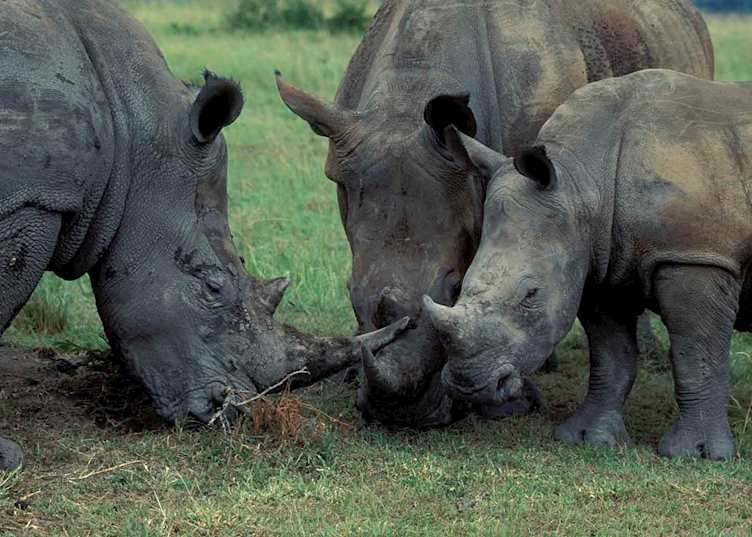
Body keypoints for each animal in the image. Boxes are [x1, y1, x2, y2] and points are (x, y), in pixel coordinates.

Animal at [276, 0, 715, 427]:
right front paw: (354, 371)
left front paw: (509, 405)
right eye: (349, 292)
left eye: (455, 288)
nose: (401, 415)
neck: (407, 97)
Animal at [424, 69, 752, 459]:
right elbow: (611, 356)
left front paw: (694, 454)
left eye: (531, 295)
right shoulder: (600, 261)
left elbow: (696, 354)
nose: (467, 385)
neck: (583, 182)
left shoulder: (696, 256)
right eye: (461, 285)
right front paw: (586, 438)